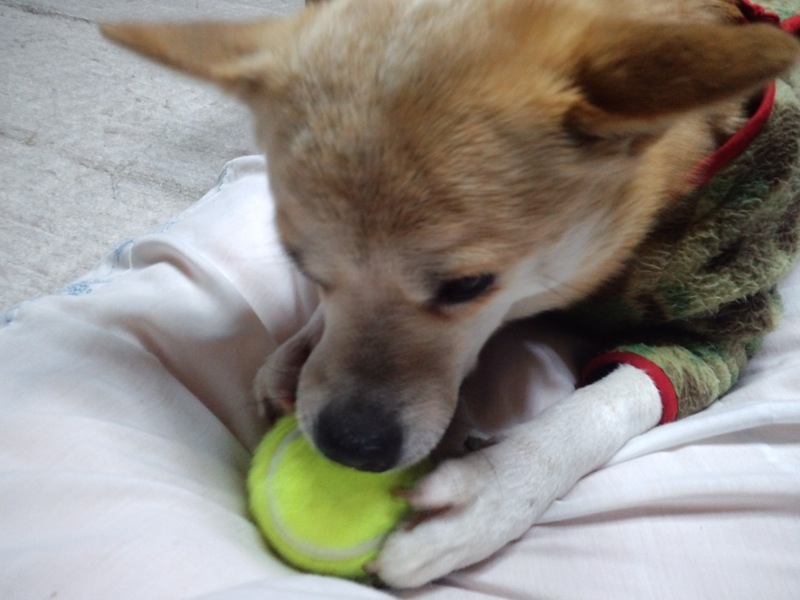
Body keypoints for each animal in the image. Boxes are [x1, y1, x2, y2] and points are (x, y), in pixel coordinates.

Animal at [101, 0, 800, 588]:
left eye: (468, 286)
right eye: (299, 262)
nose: (348, 446)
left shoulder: (713, 324)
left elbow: (605, 406)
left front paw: (495, 488)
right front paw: (301, 349)